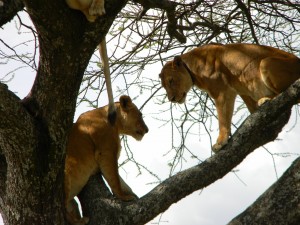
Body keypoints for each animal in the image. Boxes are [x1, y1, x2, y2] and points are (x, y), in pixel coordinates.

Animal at [64, 95, 149, 225]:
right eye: (140, 114)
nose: (147, 129)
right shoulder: (106, 153)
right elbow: (114, 178)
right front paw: (123, 197)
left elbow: (120, 180)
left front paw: (132, 194)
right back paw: (80, 221)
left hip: (72, 202)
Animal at [159, 43, 300, 152]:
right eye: (164, 86)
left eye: (171, 81)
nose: (171, 99)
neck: (192, 69)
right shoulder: (241, 89)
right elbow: (251, 108)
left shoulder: (222, 92)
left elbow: (223, 120)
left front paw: (220, 142)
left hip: (266, 62)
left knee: (284, 92)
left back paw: (265, 99)